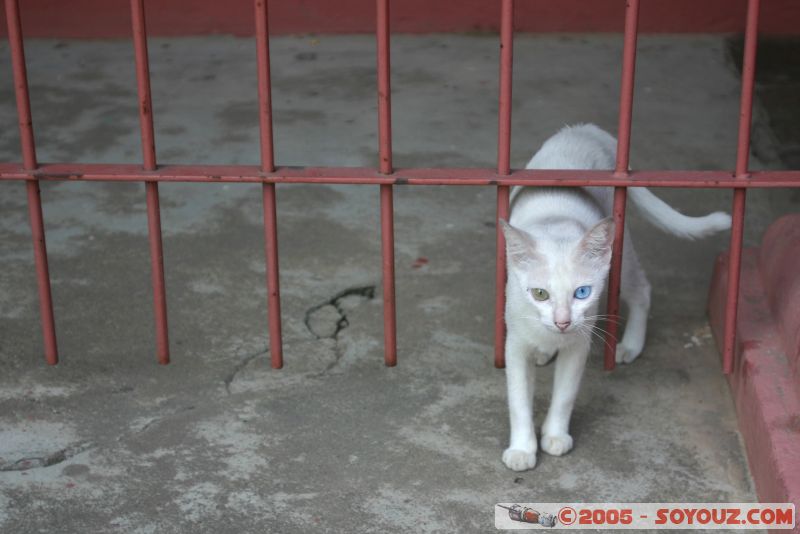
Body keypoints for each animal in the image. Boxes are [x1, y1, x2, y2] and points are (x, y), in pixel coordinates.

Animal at [504, 123, 736, 472]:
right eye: (540, 294)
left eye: (582, 292)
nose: (562, 321)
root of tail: (588, 129)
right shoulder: (515, 342)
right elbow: (519, 399)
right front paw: (521, 449)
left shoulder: (580, 341)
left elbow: (564, 394)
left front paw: (555, 436)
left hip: (619, 255)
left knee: (642, 290)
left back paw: (630, 345)